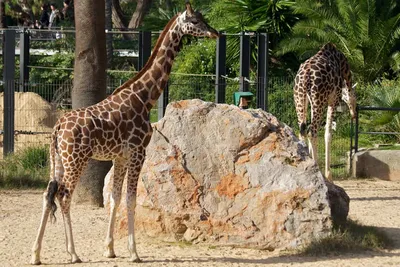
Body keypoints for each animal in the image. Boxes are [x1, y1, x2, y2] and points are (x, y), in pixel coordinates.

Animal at [30, 3, 219, 266]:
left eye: (203, 19)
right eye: (195, 21)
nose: (216, 33)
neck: (145, 98)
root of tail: (57, 128)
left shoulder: (119, 156)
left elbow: (115, 198)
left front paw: (109, 249)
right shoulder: (138, 152)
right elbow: (131, 199)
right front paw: (133, 253)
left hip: (57, 160)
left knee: (48, 195)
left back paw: (36, 254)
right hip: (76, 160)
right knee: (64, 195)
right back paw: (73, 253)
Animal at [294, 43, 356, 182]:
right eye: (356, 98)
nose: (354, 114)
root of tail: (305, 76)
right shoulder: (333, 100)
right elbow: (328, 134)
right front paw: (328, 176)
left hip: (300, 100)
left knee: (303, 131)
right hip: (319, 100)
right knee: (312, 131)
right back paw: (318, 170)